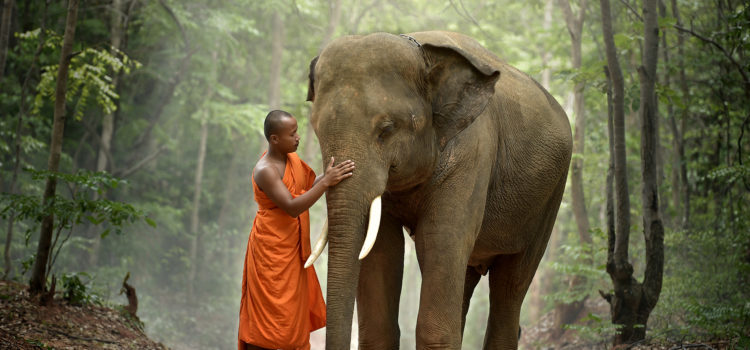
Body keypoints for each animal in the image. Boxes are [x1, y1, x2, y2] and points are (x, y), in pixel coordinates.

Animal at [302, 31, 572, 348]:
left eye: (386, 130)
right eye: (316, 129)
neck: (421, 52)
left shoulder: (472, 152)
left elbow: (440, 237)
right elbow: (382, 247)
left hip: (549, 199)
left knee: (511, 285)